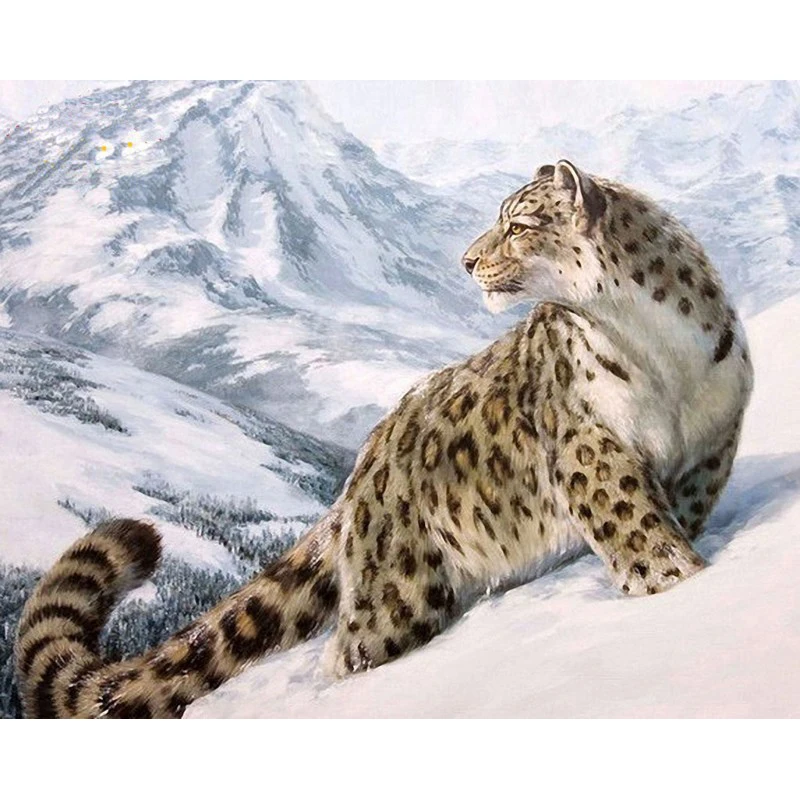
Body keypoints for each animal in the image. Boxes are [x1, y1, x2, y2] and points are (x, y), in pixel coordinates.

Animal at [15, 160, 753, 718]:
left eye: (518, 224)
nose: (466, 261)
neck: (657, 349)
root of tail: (362, 466)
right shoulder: (589, 447)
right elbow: (635, 526)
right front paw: (674, 583)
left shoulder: (713, 437)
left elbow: (676, 512)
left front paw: (685, 574)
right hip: (399, 593)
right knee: (349, 651)